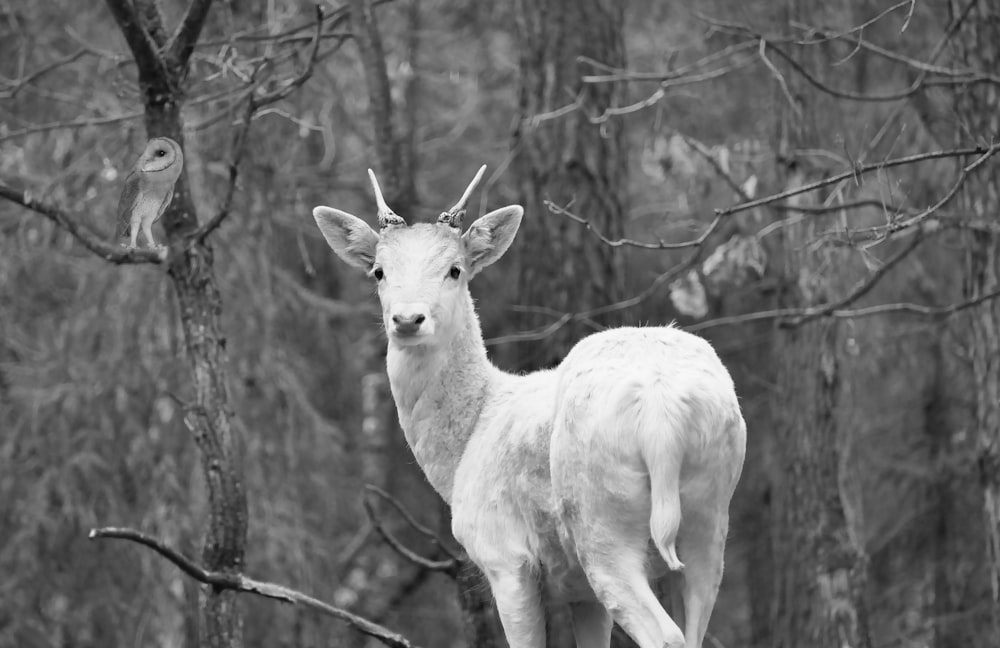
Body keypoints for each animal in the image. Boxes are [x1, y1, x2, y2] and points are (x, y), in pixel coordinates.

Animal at [312, 167, 744, 648]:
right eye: (378, 271)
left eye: (455, 269)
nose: (407, 319)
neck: (466, 444)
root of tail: (661, 411)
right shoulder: (579, 592)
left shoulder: (503, 553)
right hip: (710, 517)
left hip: (601, 519)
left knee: (664, 634)